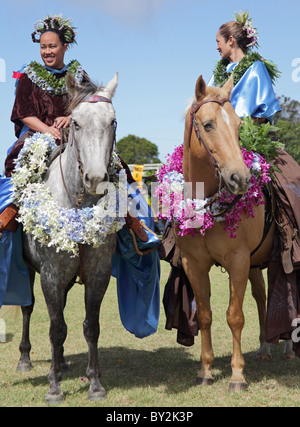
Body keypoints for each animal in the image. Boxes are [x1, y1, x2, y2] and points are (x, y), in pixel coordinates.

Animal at [17, 72, 119, 402]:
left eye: (113, 121)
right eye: (74, 122)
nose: (96, 178)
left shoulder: (99, 273)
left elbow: (91, 326)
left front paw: (95, 384)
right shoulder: (50, 274)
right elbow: (55, 328)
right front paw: (54, 388)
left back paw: (61, 363)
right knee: (29, 309)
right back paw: (26, 359)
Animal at [176, 76, 276, 392]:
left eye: (239, 125)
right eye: (208, 125)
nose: (240, 178)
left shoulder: (238, 261)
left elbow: (235, 316)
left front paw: (237, 375)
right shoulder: (194, 265)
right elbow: (204, 315)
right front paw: (206, 371)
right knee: (261, 296)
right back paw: (266, 348)